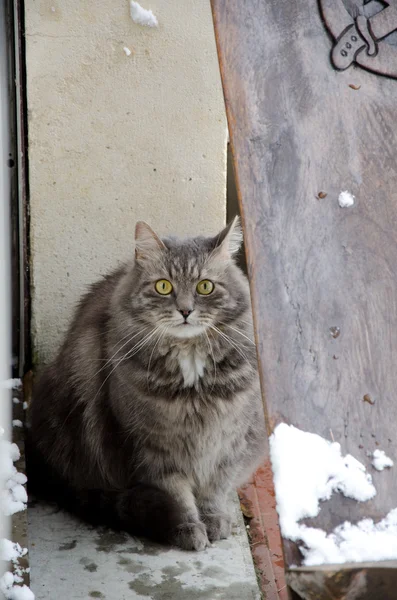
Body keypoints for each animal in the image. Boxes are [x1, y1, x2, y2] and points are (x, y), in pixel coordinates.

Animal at [27, 218, 262, 552]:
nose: (185, 311)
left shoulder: (228, 442)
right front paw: (188, 530)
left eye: (205, 287)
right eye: (164, 286)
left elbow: (214, 489)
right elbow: (177, 497)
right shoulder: (153, 449)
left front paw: (214, 520)